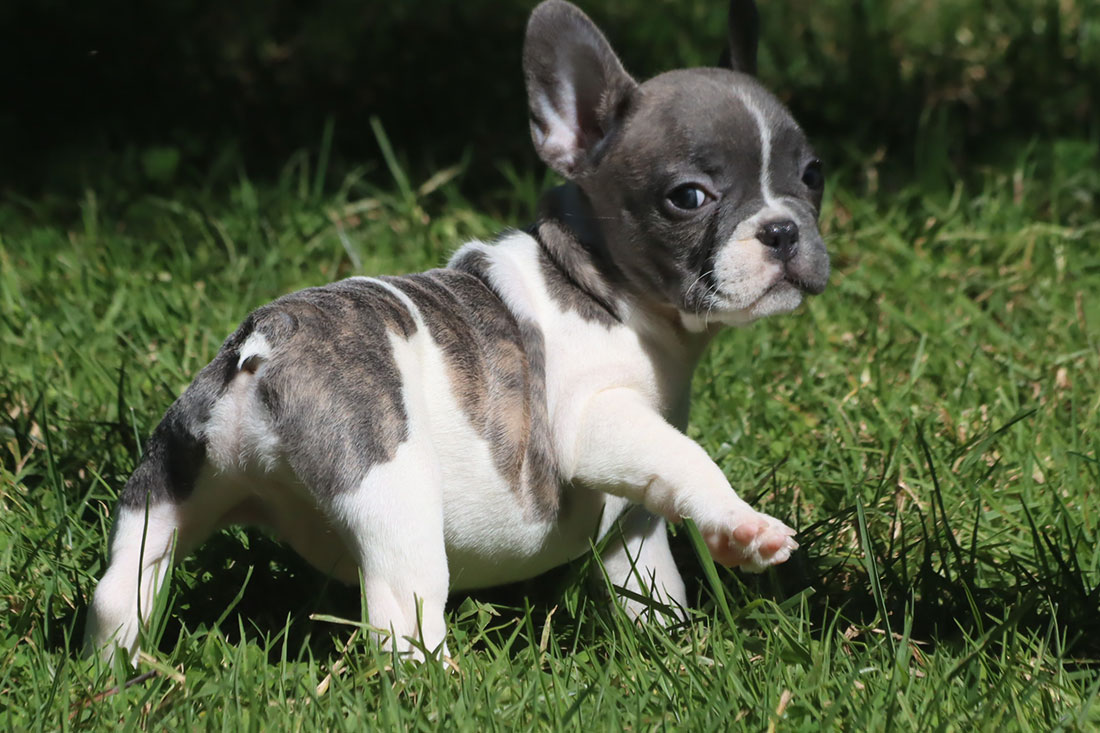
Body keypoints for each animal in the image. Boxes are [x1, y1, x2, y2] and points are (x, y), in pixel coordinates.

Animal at [83, 0, 827, 660]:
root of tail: (262, 347)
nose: (782, 229)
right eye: (688, 197)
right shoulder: (594, 417)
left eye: (814, 175)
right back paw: (435, 686)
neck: (602, 284)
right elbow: (685, 457)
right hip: (391, 494)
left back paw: (115, 676)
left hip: (169, 482)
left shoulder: (632, 517)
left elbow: (649, 571)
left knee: (124, 583)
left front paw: (673, 642)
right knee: (398, 614)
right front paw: (742, 529)